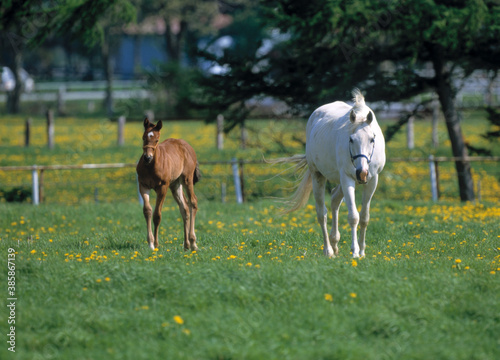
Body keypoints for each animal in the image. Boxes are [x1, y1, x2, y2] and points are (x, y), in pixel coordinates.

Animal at [137, 118, 201, 250]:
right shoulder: (143, 186)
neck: (151, 166)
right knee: (184, 208)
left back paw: (193, 243)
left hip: (187, 179)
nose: (147, 158)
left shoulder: (162, 187)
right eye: (143, 137)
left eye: (157, 140)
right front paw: (150, 243)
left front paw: (156, 244)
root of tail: (187, 146)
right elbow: (147, 211)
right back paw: (186, 245)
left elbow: (157, 215)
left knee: (193, 202)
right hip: (175, 185)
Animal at [280, 90, 384, 258]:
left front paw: (362, 251)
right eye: (351, 139)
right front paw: (355, 252)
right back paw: (328, 250)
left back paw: (335, 243)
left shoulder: (373, 180)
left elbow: (364, 218)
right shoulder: (347, 178)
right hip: (318, 176)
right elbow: (353, 217)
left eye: (372, 139)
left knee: (335, 200)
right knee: (322, 213)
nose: (361, 173)